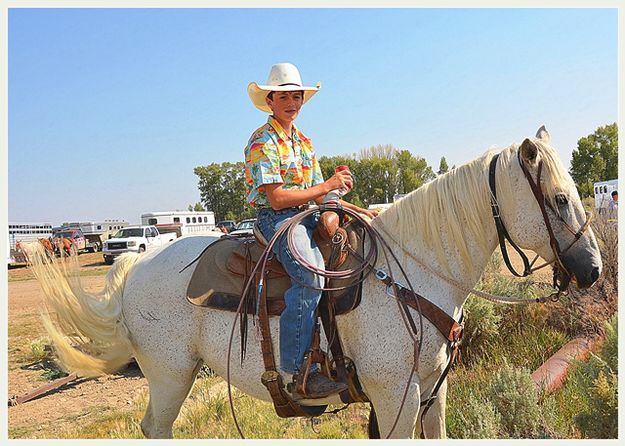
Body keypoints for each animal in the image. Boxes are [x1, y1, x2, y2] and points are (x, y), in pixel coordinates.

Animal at [28, 126, 600, 440]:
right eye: (558, 198)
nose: (593, 269)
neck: (416, 271)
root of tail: (137, 265)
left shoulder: (432, 391)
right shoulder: (395, 396)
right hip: (170, 375)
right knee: (157, 428)